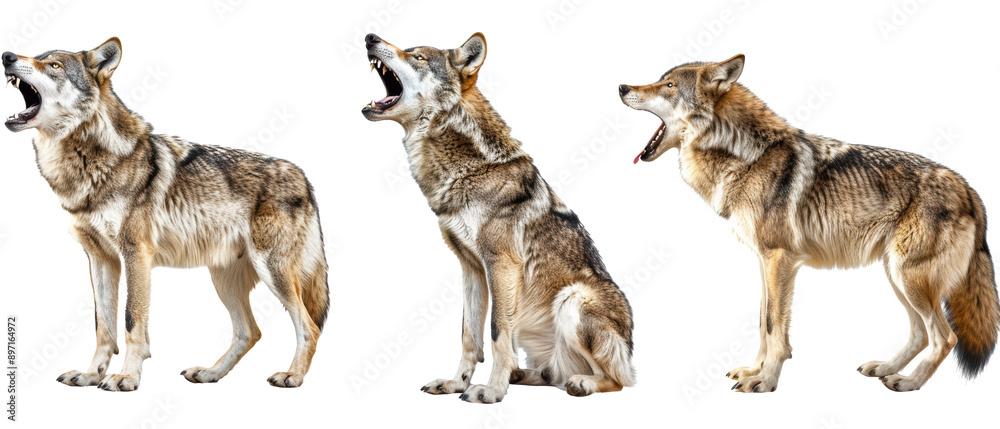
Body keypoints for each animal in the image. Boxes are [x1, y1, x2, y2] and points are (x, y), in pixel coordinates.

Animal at [2, 38, 329, 390]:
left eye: (53, 65)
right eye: (37, 57)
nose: (6, 56)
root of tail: (304, 177)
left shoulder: (136, 254)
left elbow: (132, 321)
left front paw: (126, 377)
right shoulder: (100, 258)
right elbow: (103, 325)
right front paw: (91, 375)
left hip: (272, 270)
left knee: (309, 326)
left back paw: (292, 375)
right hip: (223, 279)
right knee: (249, 332)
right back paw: (210, 373)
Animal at [362, 33, 636, 402]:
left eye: (417, 56)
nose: (370, 37)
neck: (471, 167)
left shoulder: (501, 264)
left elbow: (496, 332)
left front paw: (491, 391)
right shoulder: (471, 267)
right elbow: (469, 334)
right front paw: (457, 384)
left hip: (571, 299)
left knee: (617, 380)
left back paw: (582, 383)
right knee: (552, 373)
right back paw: (523, 375)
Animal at [619, 54, 998, 392]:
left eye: (669, 85)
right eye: (661, 79)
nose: (622, 86)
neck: (745, 156)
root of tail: (970, 190)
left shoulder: (780, 260)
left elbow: (775, 326)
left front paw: (765, 381)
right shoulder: (765, 262)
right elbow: (764, 322)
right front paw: (753, 371)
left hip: (910, 279)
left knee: (945, 337)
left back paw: (908, 382)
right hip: (897, 276)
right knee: (920, 334)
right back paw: (886, 369)